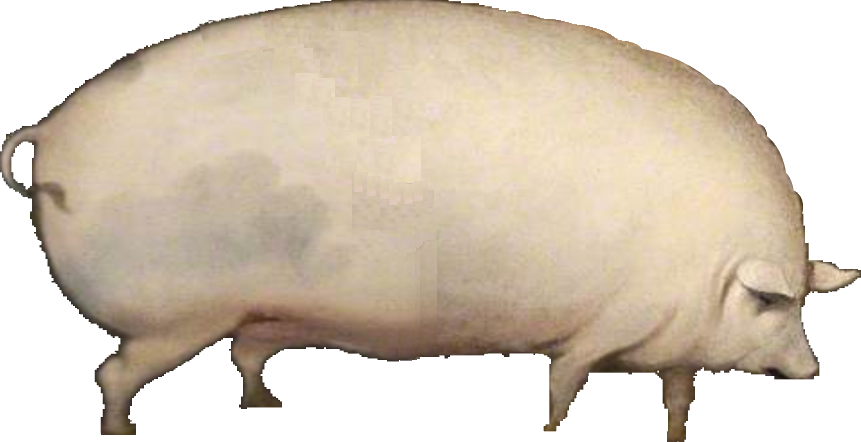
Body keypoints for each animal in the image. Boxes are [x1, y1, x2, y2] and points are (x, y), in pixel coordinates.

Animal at [0, 1, 858, 439]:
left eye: (801, 303)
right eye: (772, 302)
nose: (813, 369)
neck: (706, 274)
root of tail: (54, 128)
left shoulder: (671, 340)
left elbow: (678, 395)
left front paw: (677, 437)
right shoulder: (602, 324)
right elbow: (563, 381)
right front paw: (548, 432)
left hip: (254, 314)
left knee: (245, 356)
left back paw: (267, 410)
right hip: (178, 315)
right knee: (113, 372)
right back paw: (124, 431)